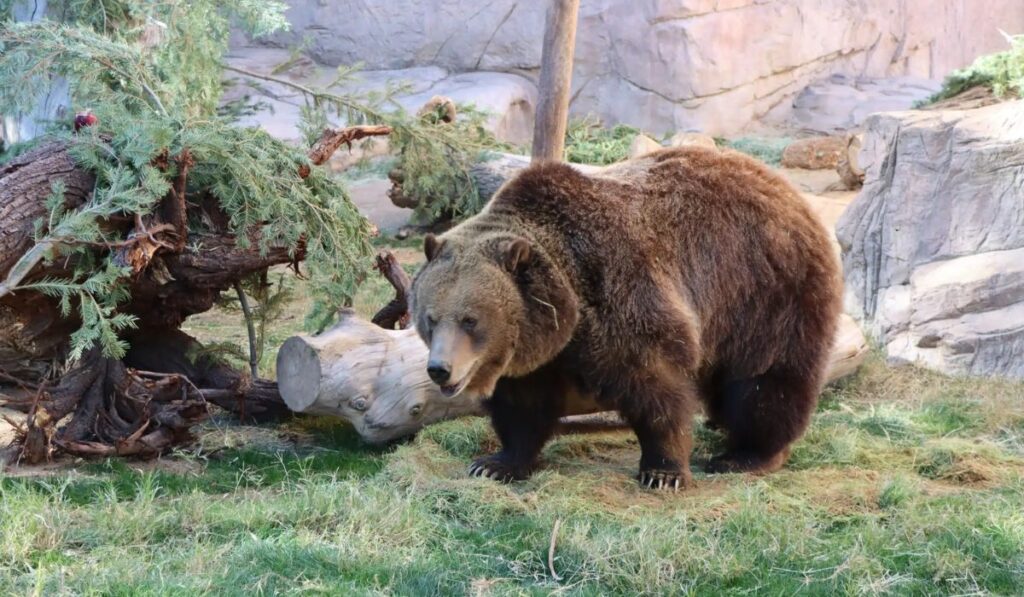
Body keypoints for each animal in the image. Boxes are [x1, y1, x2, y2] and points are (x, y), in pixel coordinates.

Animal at [410, 146, 842, 490]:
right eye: (430, 318)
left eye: (470, 320)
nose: (440, 369)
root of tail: (781, 183)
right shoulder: (539, 351)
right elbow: (523, 407)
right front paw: (495, 464)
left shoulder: (619, 293)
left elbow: (656, 386)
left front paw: (663, 471)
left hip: (765, 291)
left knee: (765, 380)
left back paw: (747, 454)